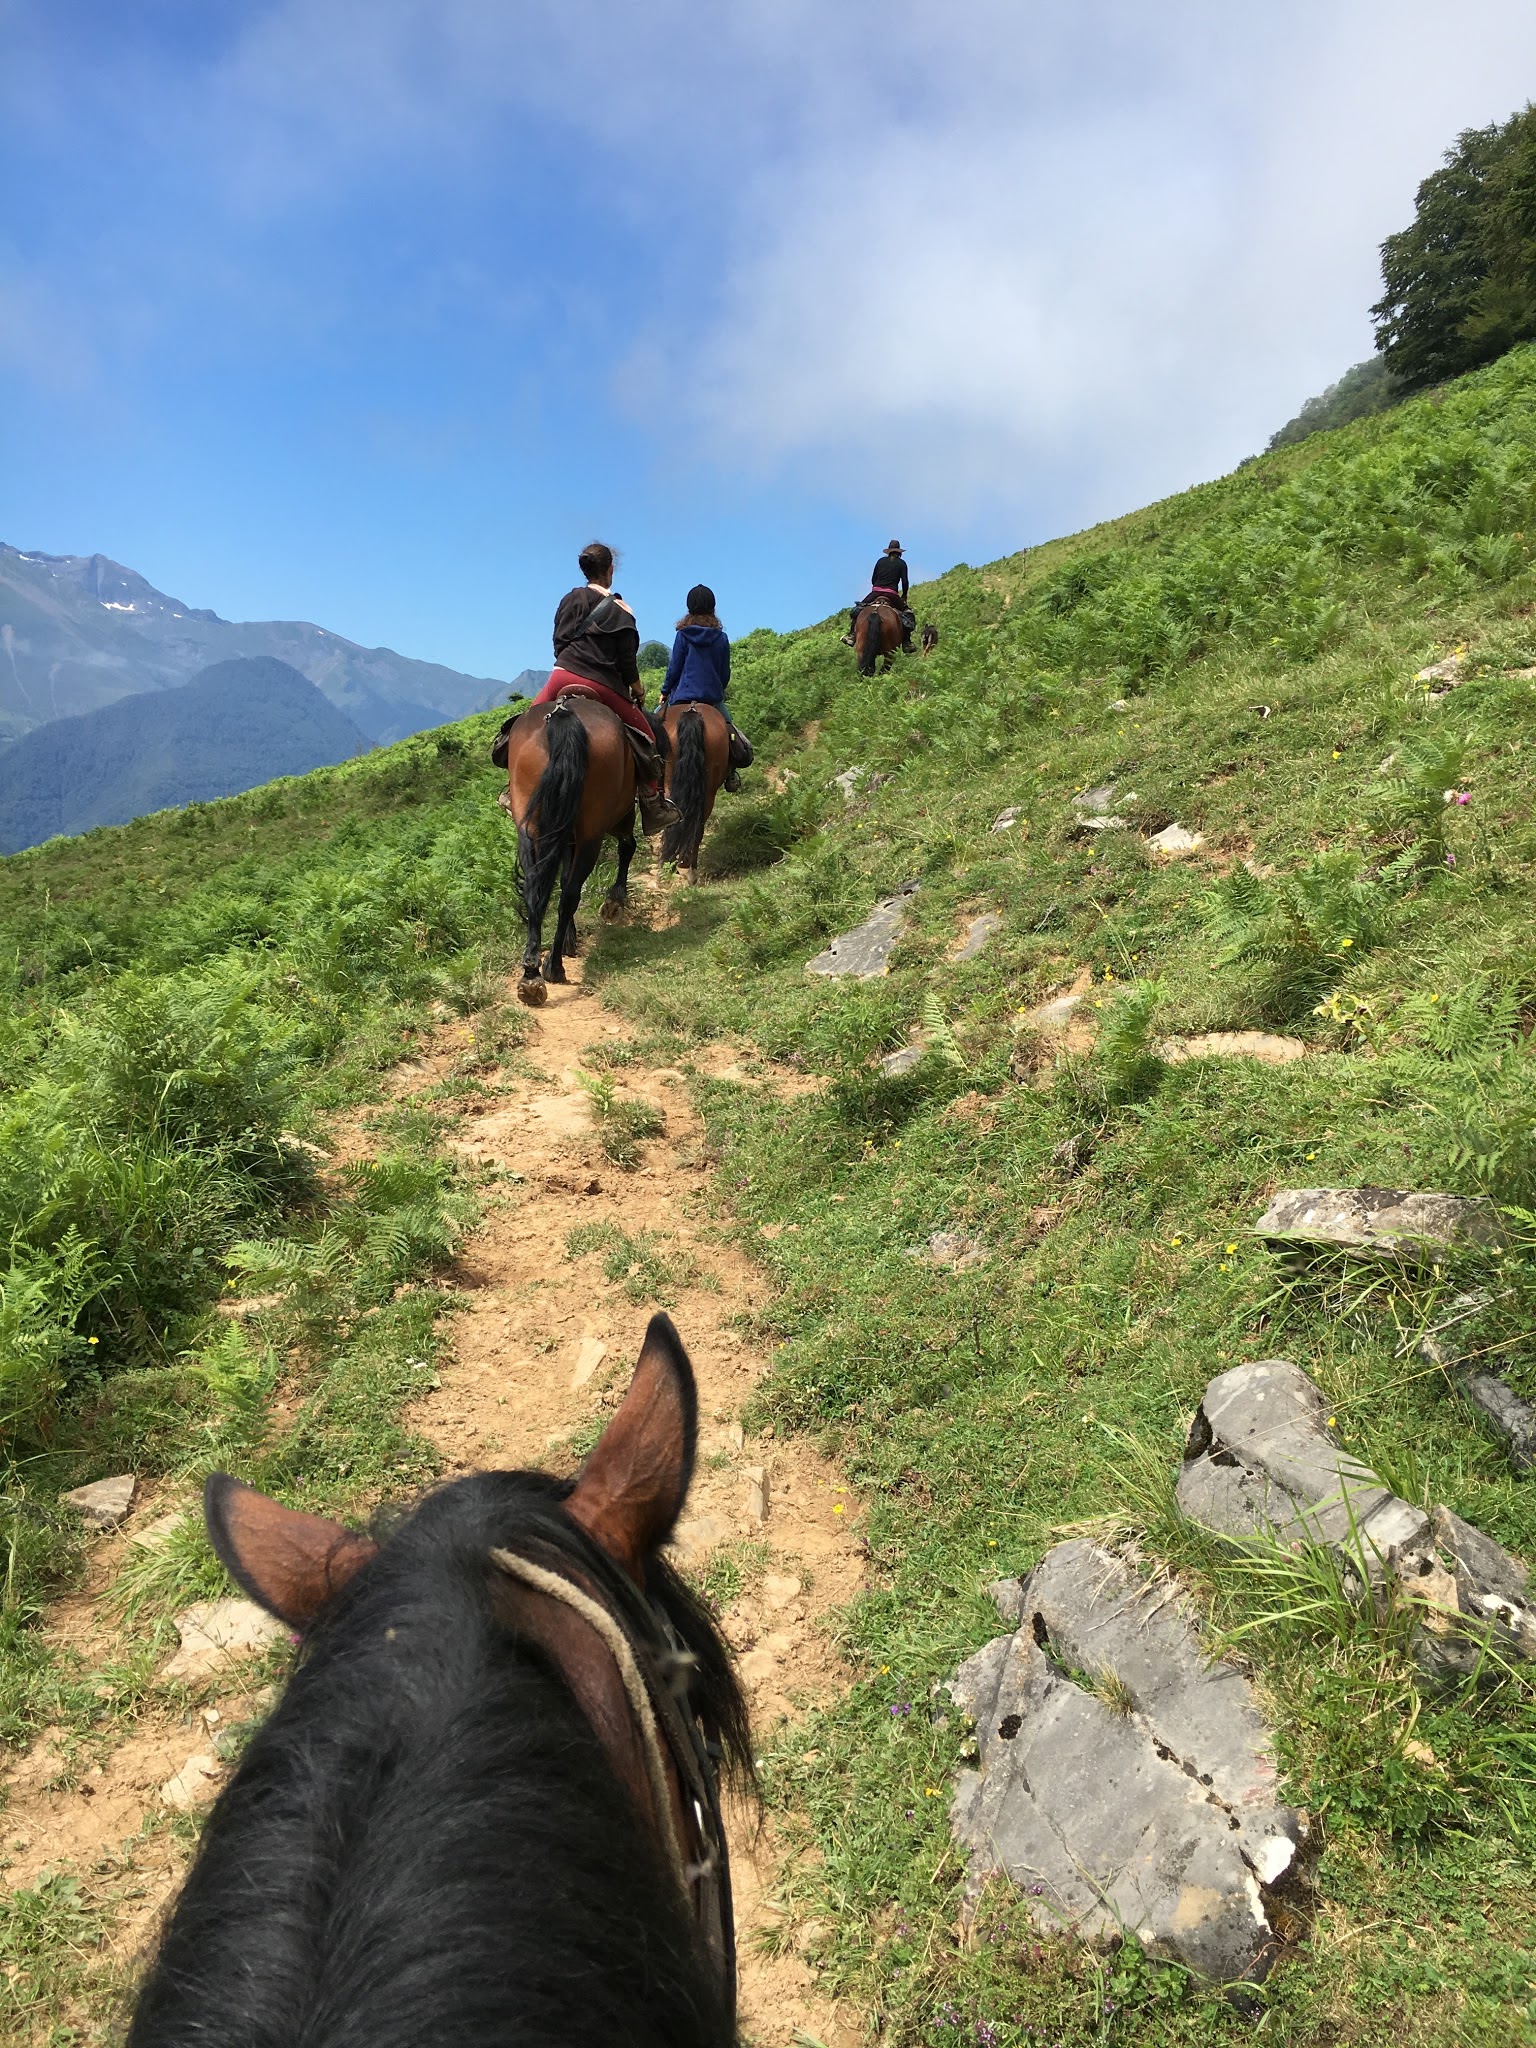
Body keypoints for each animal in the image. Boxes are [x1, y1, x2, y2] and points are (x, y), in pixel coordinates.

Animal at [503, 694, 639, 1005]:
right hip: (592, 833)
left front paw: (569, 939)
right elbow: (627, 847)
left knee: (537, 888)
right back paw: (553, 967)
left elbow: (561, 877)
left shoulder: (563, 833)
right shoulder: (623, 814)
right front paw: (615, 900)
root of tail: (564, 712)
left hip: (530, 827)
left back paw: (531, 973)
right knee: (571, 893)